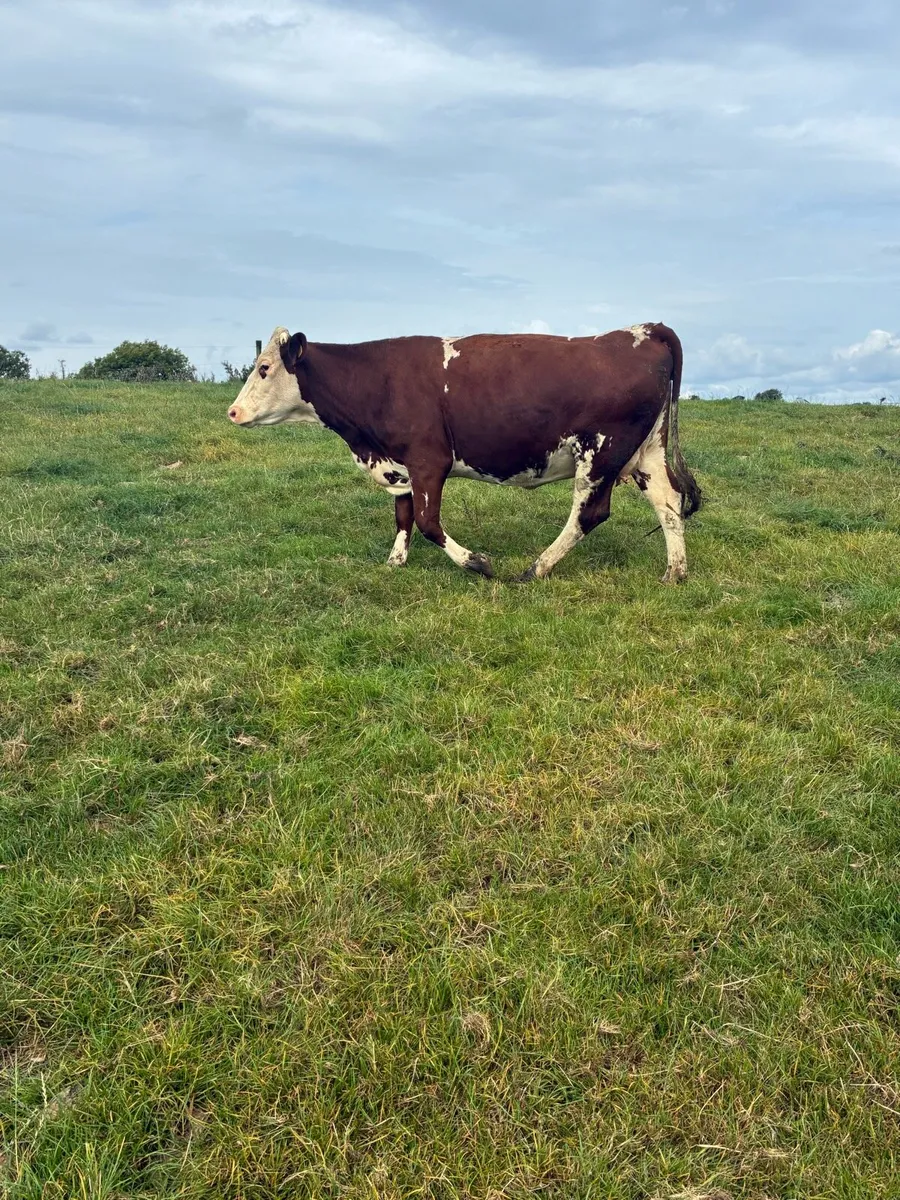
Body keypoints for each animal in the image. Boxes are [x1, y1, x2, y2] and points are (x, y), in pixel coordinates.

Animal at [227, 324, 702, 582]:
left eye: (264, 368)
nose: (232, 411)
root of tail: (643, 330)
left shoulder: (428, 460)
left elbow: (427, 521)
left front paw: (477, 563)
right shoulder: (399, 464)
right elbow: (403, 516)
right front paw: (394, 562)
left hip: (601, 452)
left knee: (590, 514)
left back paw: (536, 568)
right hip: (645, 452)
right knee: (669, 502)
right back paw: (675, 572)